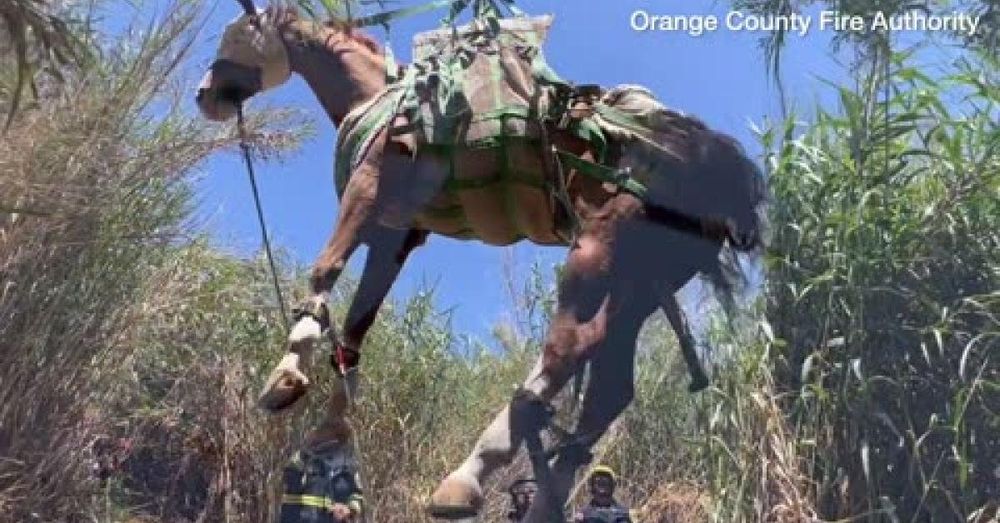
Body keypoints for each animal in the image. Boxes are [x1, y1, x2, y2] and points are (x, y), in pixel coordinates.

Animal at [195, 2, 765, 520]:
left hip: (599, 251)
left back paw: (470, 475)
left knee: (570, 347)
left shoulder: (367, 192)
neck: (381, 101)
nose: (204, 95)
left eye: (239, 31)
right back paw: (544, 494)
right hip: (644, 280)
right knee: (609, 387)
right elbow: (356, 330)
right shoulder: (393, 236)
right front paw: (330, 433)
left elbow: (326, 269)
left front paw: (287, 373)